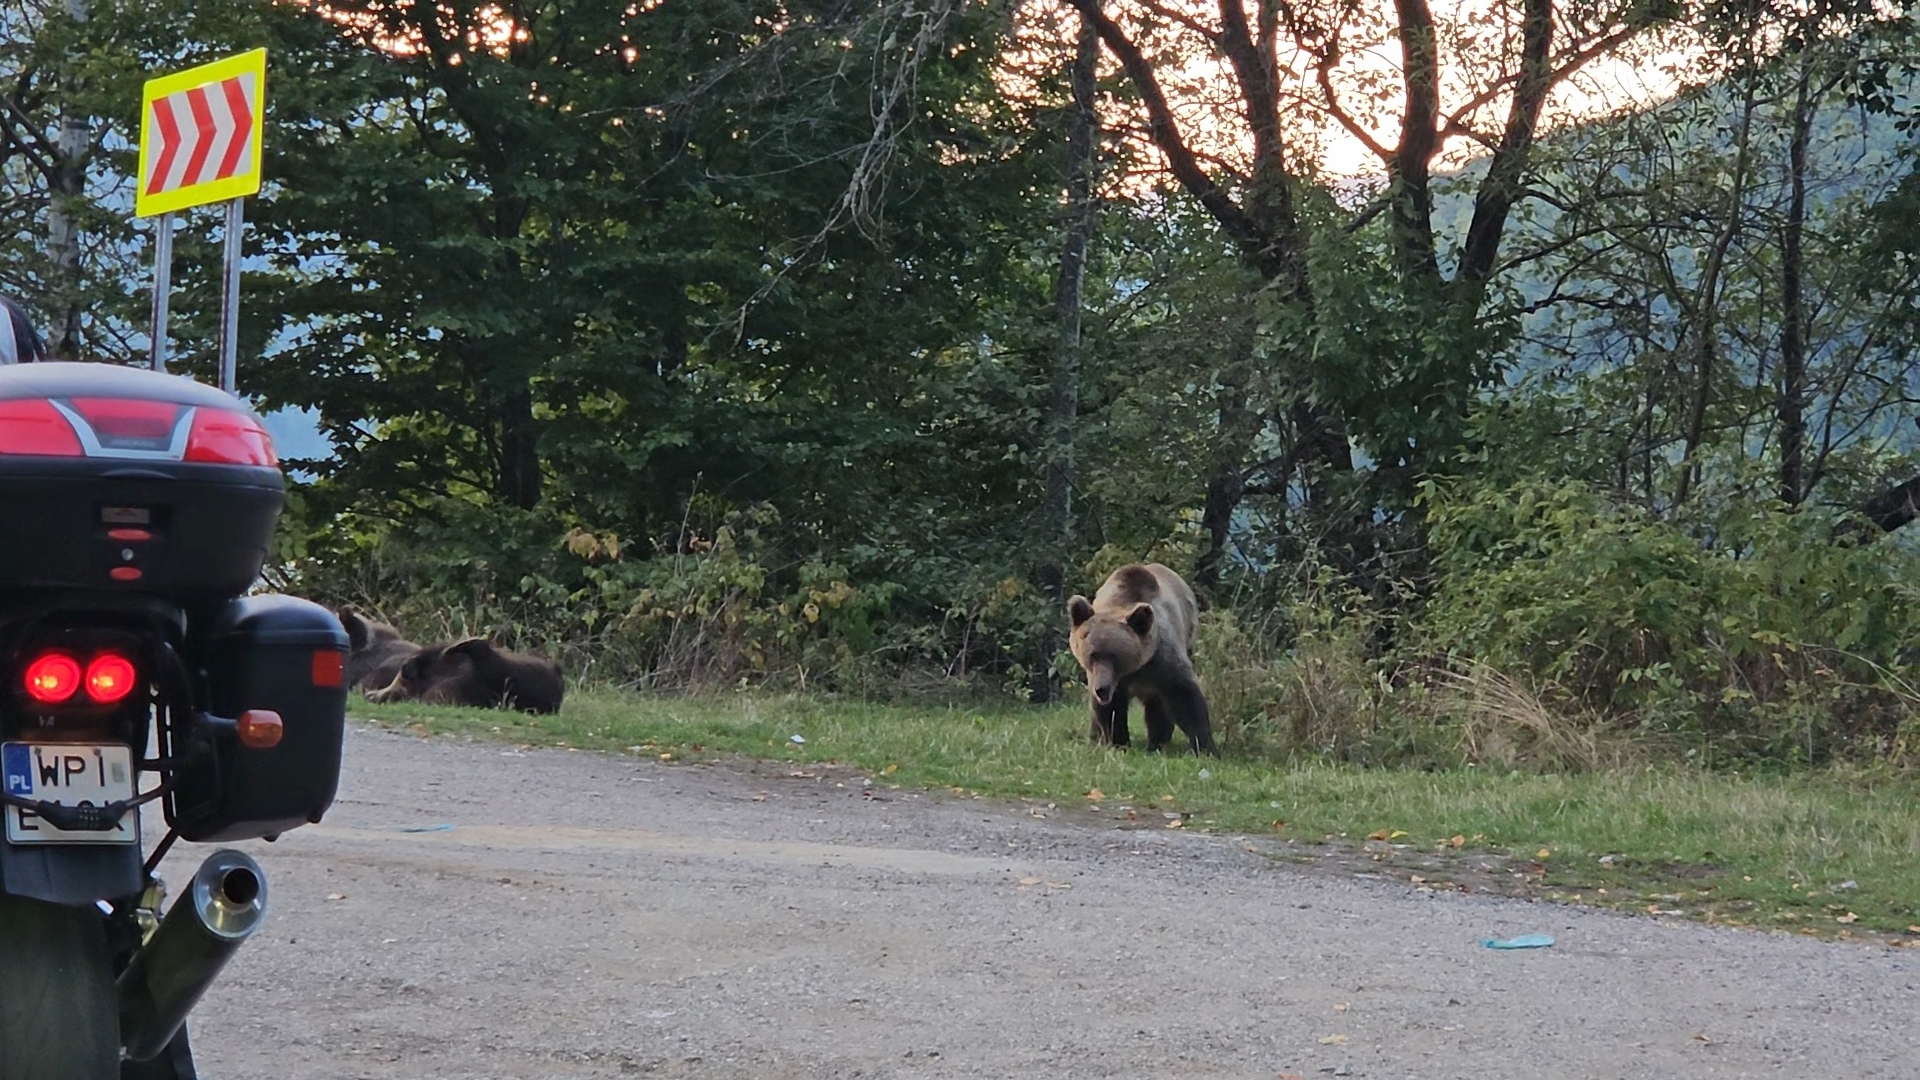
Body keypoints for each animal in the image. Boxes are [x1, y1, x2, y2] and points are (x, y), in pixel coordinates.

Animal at [1067, 557, 1213, 753]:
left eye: (1114, 656)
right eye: (1092, 655)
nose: (1102, 689)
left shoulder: (1162, 659)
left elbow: (1184, 696)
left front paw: (1206, 747)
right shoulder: (1107, 680)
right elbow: (1112, 709)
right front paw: (1119, 743)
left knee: (1158, 705)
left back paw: (1157, 741)